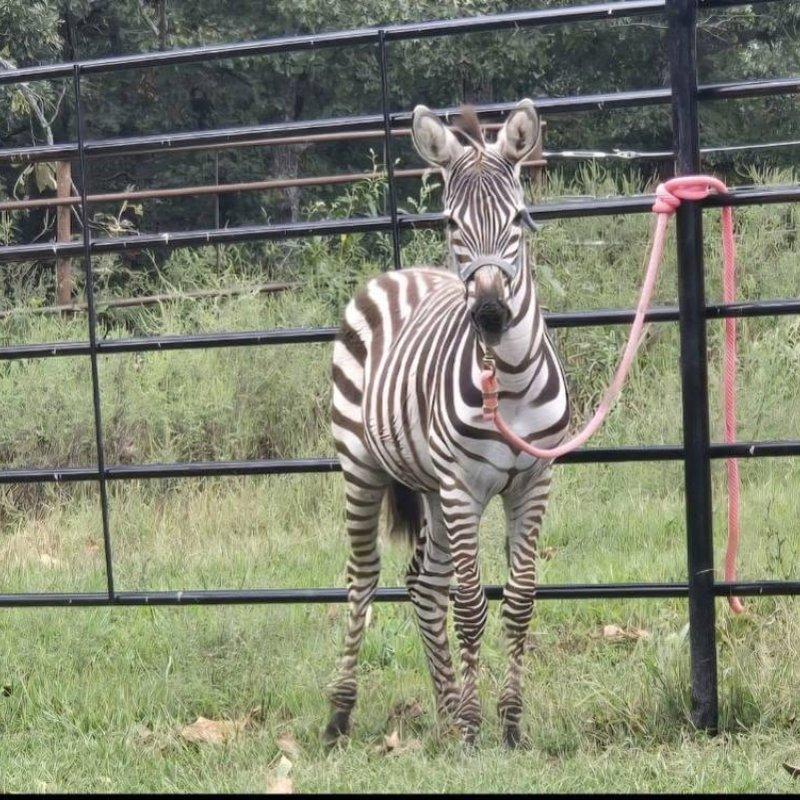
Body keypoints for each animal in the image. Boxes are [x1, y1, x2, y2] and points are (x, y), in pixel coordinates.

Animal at [325, 99, 570, 748]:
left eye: (518, 219)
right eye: (451, 223)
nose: (489, 314)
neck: (508, 379)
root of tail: (399, 272)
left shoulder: (533, 483)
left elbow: (519, 601)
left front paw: (507, 725)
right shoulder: (464, 488)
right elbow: (472, 608)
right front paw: (474, 728)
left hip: (431, 489)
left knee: (422, 583)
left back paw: (444, 710)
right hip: (362, 467)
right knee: (364, 577)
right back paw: (341, 715)